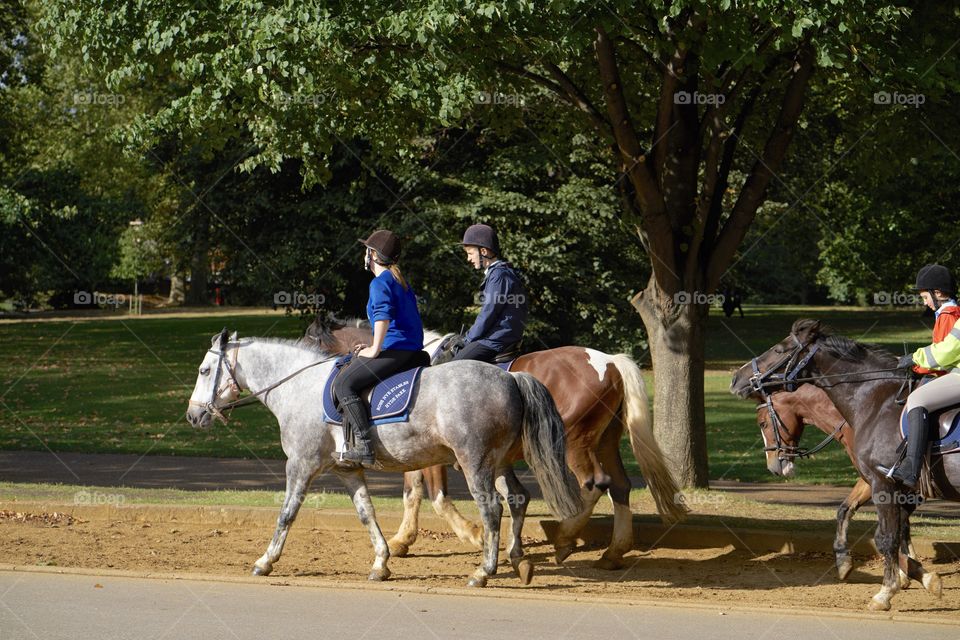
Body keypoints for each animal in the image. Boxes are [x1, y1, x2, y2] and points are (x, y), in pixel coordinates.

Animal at [184, 330, 580, 584]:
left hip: (475, 462)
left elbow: (287, 514)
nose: (192, 416)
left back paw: (484, 571)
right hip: (499, 462)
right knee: (518, 498)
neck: (299, 388)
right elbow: (366, 514)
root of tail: (510, 378)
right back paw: (518, 560)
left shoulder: (300, 465)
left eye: (204, 370)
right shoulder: (347, 470)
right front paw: (381, 562)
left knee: (492, 508)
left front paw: (265, 561)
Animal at [304, 312, 688, 568]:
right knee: (620, 486)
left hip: (576, 444)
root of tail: (609, 361)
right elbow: (415, 493)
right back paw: (613, 551)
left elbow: (434, 497)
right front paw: (404, 540)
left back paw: (565, 537)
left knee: (594, 484)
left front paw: (471, 535)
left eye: (308, 341)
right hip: (605, 442)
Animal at [736, 320, 944, 608]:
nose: (773, 467)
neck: (869, 404)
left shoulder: (881, 480)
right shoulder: (885, 483)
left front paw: (900, 578)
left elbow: (890, 531)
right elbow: (851, 512)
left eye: (763, 423)